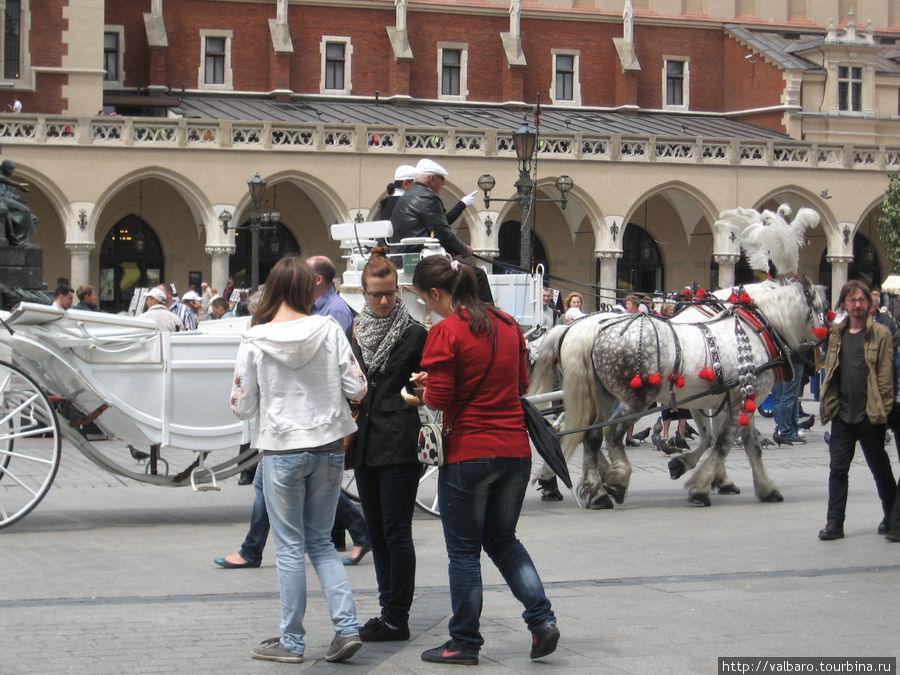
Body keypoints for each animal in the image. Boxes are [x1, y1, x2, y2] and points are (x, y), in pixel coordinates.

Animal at [528, 278, 828, 508]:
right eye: (821, 308)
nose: (825, 338)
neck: (751, 329)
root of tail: (578, 329)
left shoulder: (717, 400)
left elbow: (737, 442)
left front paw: (762, 488)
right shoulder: (739, 399)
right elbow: (723, 443)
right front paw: (701, 486)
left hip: (601, 396)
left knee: (587, 435)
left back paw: (594, 490)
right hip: (633, 398)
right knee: (604, 433)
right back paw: (613, 480)